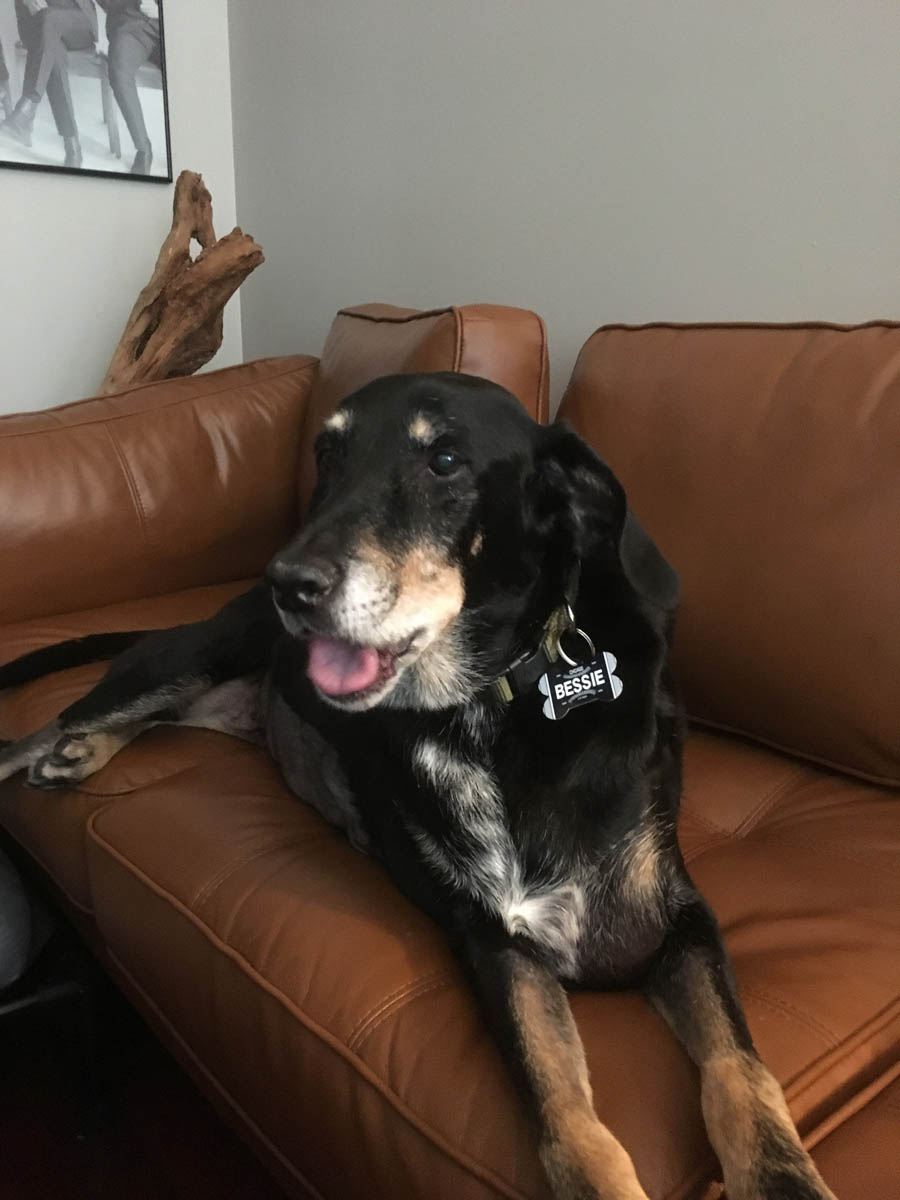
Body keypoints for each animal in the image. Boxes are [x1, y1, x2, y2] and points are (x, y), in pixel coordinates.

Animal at [0, 374, 840, 1200]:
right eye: (326, 454)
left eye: (443, 461)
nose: (288, 585)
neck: (490, 706)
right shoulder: (493, 940)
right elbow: (567, 1121)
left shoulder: (678, 919)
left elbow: (740, 1071)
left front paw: (785, 1181)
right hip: (182, 660)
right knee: (36, 733)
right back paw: (67, 746)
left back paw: (79, 752)